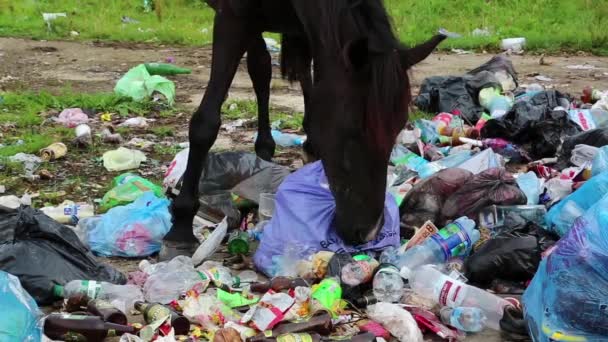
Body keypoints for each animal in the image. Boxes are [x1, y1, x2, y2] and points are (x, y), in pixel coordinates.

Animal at [162, 0, 446, 260]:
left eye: (397, 128)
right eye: (353, 130)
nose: (368, 233)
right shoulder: (232, 18)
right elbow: (206, 124)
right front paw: (181, 227)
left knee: (263, 67)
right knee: (260, 66)